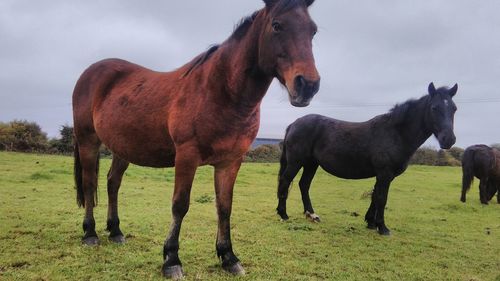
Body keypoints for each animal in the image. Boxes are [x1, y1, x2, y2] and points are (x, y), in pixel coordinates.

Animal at [71, 0, 320, 278]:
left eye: (313, 31)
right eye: (277, 25)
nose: (308, 85)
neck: (219, 92)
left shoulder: (230, 162)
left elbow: (224, 206)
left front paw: (229, 257)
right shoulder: (187, 156)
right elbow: (180, 205)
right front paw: (171, 260)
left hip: (121, 148)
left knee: (112, 183)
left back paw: (115, 231)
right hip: (88, 141)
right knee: (89, 184)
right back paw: (90, 233)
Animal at [276, 82, 458, 234]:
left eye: (454, 108)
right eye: (434, 108)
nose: (448, 140)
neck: (395, 133)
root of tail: (294, 124)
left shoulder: (384, 175)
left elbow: (375, 196)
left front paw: (371, 222)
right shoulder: (384, 173)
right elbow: (382, 198)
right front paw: (383, 228)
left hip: (311, 164)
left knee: (304, 184)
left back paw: (311, 214)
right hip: (296, 162)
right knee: (286, 181)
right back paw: (283, 214)